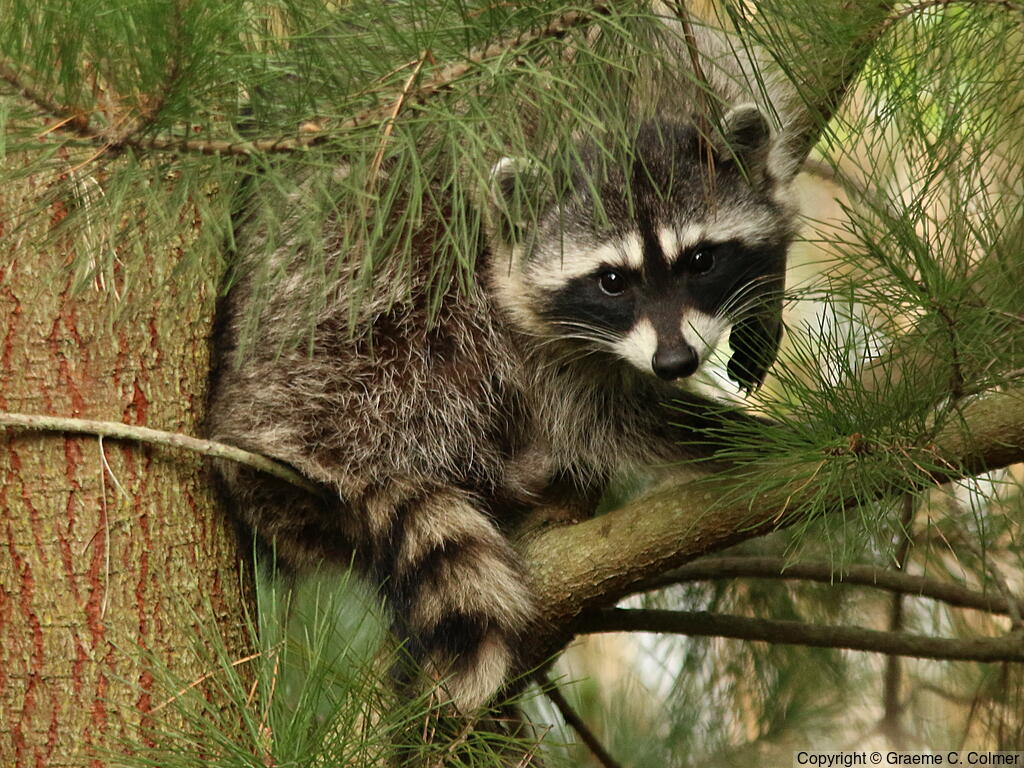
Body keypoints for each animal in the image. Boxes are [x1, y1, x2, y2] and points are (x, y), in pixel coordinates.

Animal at [207, 104, 798, 712]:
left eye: (702, 260)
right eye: (612, 281)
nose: (675, 361)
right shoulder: (520, 318)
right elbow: (601, 417)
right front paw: (732, 436)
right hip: (336, 360)